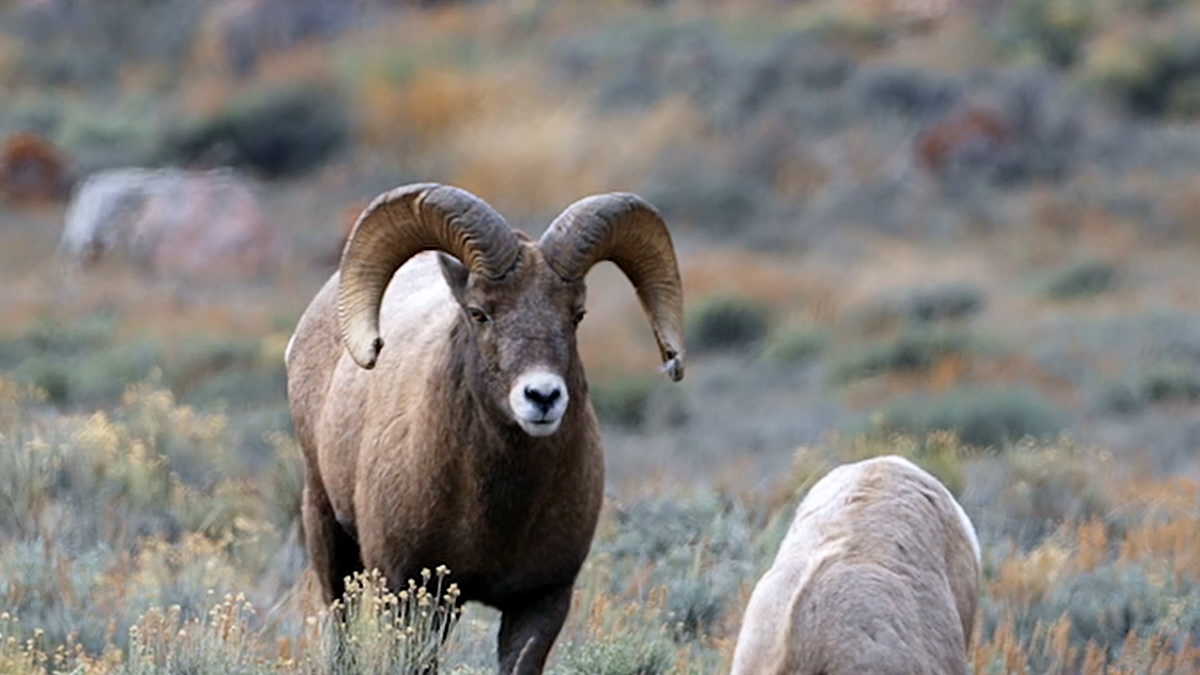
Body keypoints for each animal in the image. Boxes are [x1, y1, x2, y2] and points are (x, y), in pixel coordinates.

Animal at [283, 181, 686, 667]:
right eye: (479, 312)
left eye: (577, 315)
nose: (542, 396)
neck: (496, 511)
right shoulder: (411, 593)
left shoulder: (541, 603)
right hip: (327, 530)